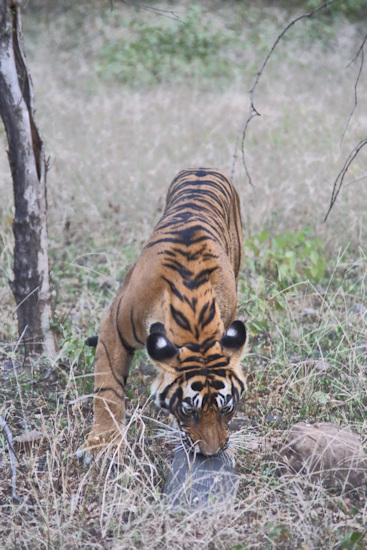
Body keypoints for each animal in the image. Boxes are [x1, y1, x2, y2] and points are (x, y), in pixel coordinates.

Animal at [86, 167, 247, 458]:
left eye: (226, 409)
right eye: (189, 410)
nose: (211, 454)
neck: (195, 321)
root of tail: (204, 168)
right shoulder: (113, 328)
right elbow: (107, 387)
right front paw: (102, 443)